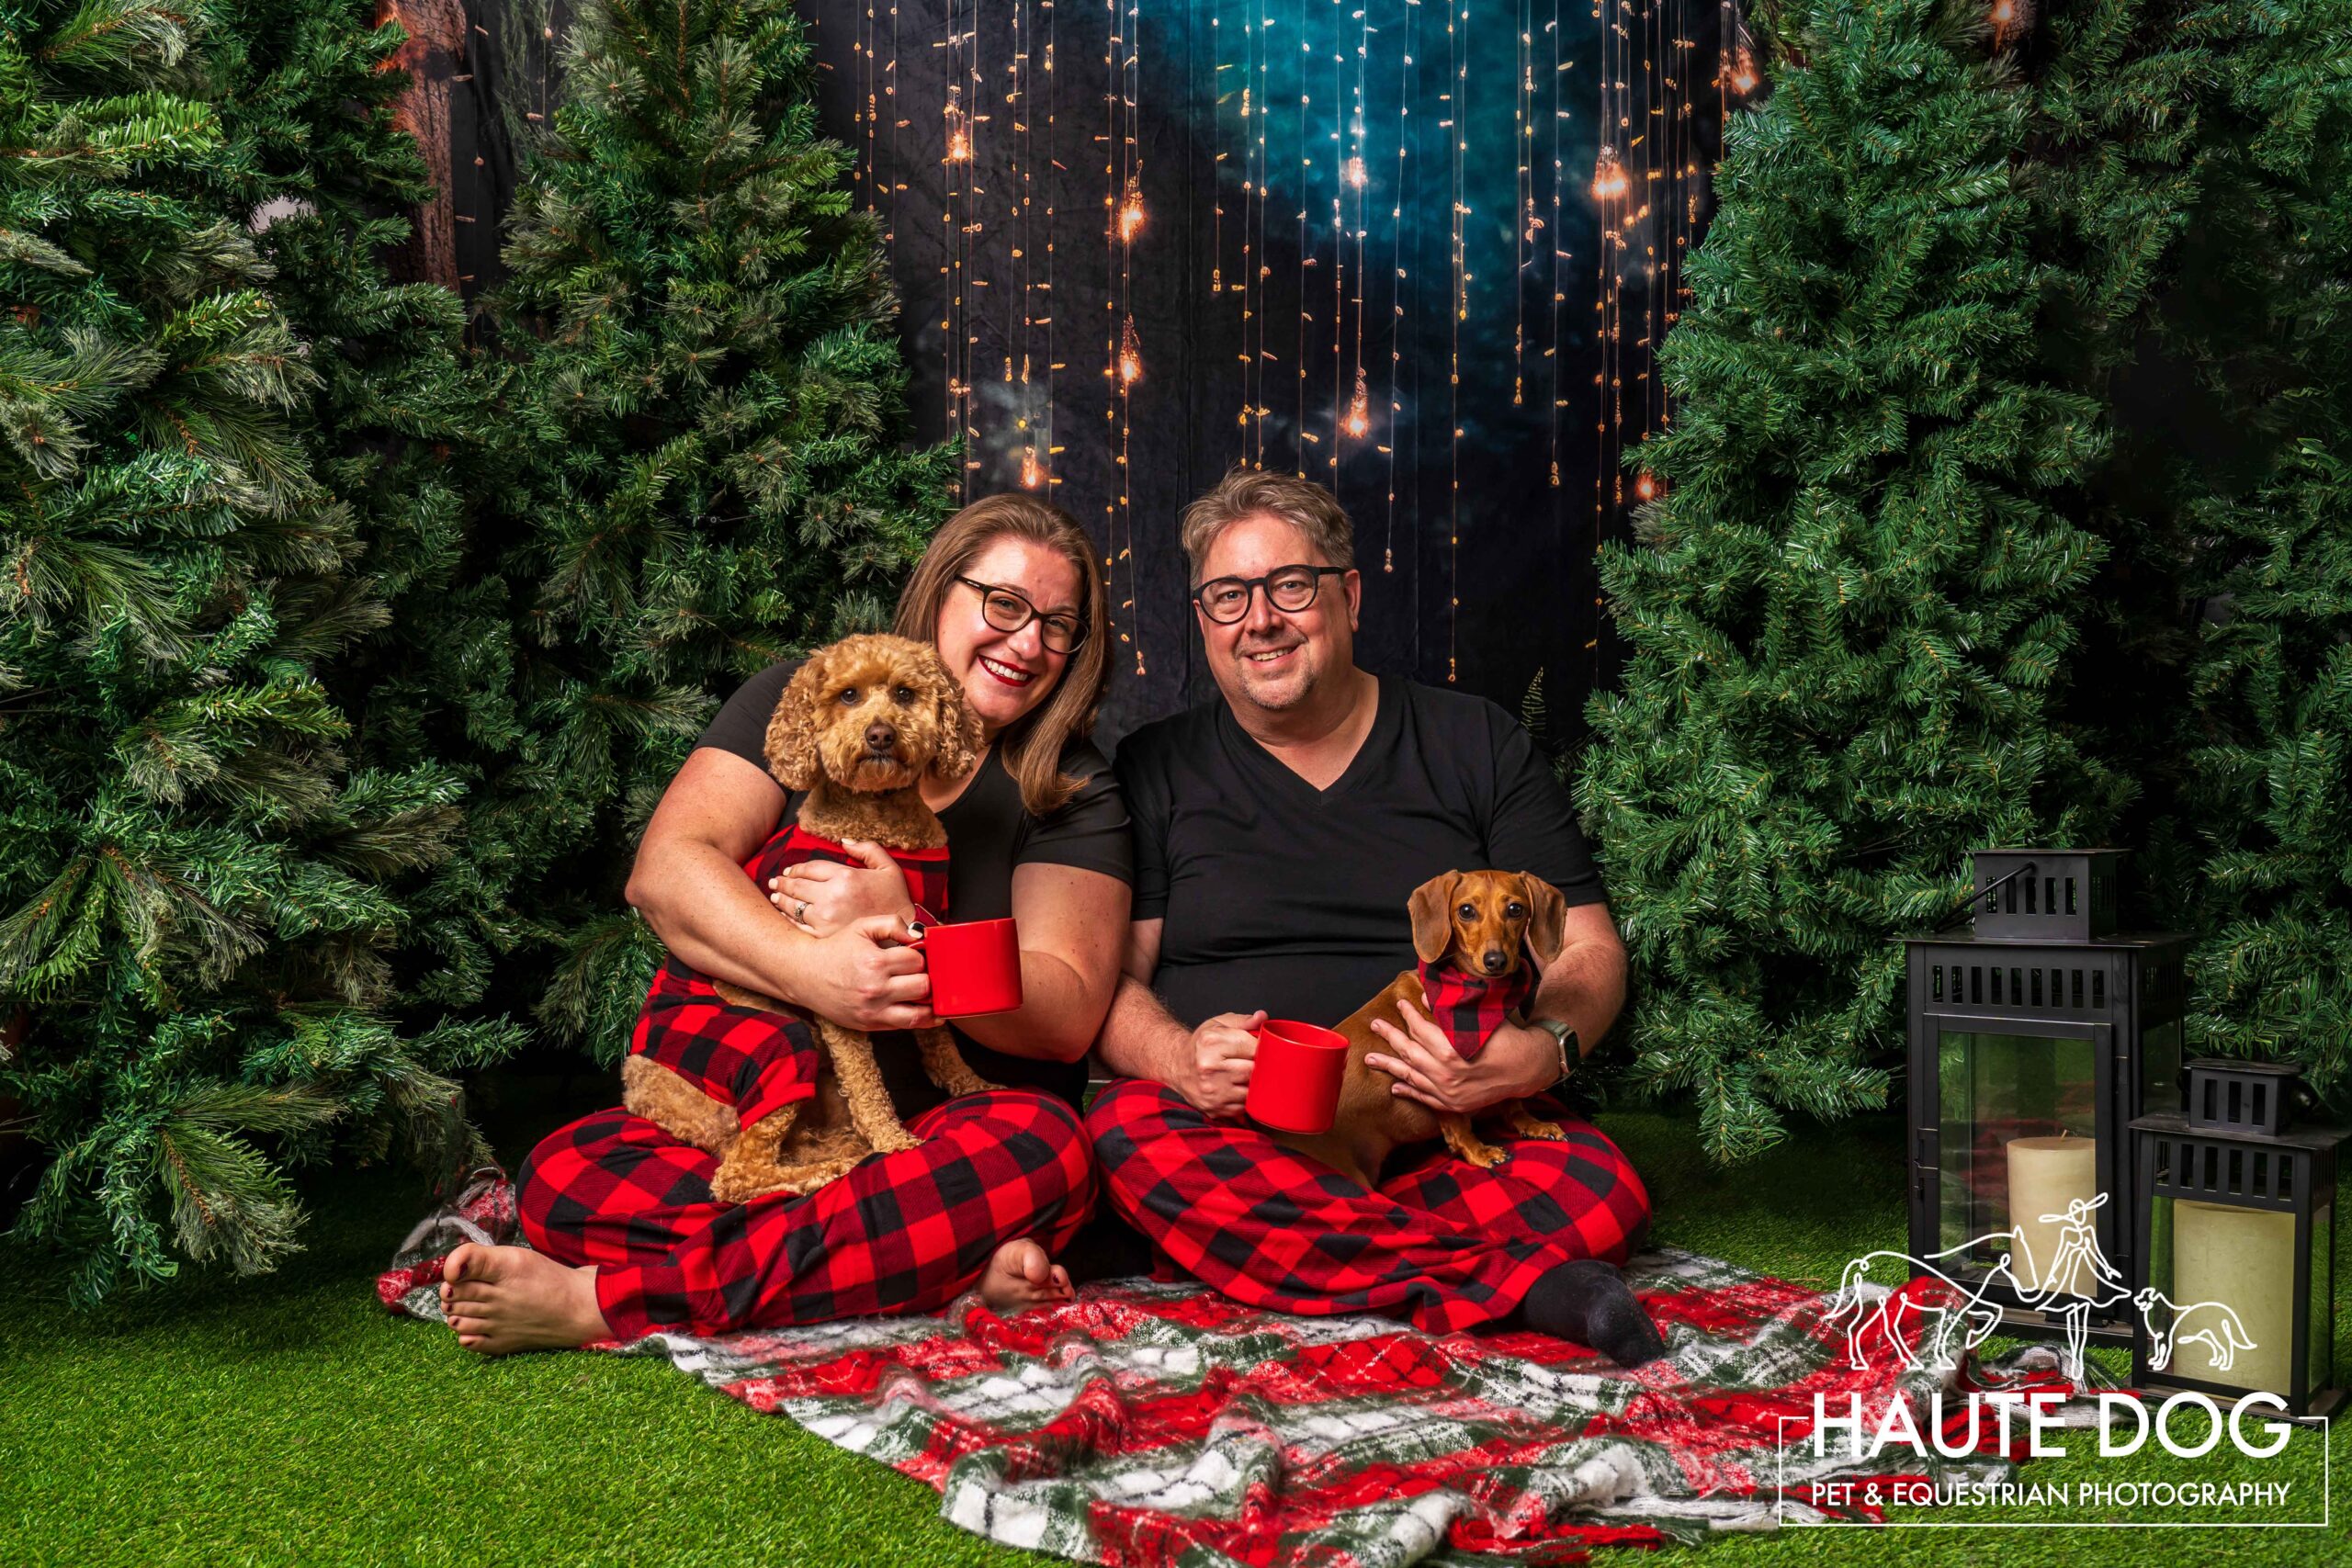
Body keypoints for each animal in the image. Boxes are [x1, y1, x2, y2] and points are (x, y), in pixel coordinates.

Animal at [620, 639, 997, 1203]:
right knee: (736, 1177)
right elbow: (865, 1079)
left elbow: (939, 1037)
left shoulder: (924, 942)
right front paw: (894, 1141)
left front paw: (972, 1086)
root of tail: (640, 1091)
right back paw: (835, 1168)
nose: (880, 734)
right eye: (848, 695)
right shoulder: (839, 988)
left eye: (904, 694)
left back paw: (836, 1148)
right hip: (779, 1044)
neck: (880, 819)